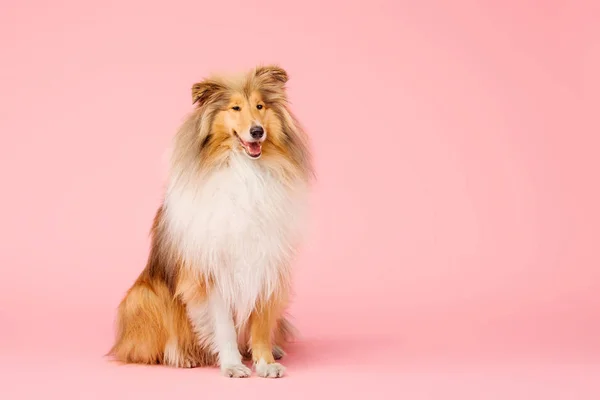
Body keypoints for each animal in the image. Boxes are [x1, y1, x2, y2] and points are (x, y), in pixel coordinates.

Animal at [109, 65, 314, 378]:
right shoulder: (211, 271)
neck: (245, 170)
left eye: (260, 106)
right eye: (235, 108)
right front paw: (231, 365)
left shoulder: (267, 263)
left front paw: (266, 362)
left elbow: (261, 324)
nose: (257, 131)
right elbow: (223, 326)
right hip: (142, 296)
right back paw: (182, 356)